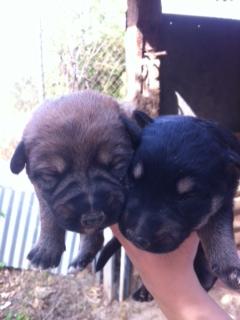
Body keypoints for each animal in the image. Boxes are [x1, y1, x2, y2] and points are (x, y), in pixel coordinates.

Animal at [9, 90, 133, 270]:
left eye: (117, 165)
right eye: (50, 175)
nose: (93, 218)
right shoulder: (42, 193)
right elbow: (48, 215)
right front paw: (47, 249)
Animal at [96, 110, 240, 298]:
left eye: (188, 197)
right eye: (132, 180)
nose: (135, 237)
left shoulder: (224, 199)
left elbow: (217, 228)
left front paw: (230, 269)